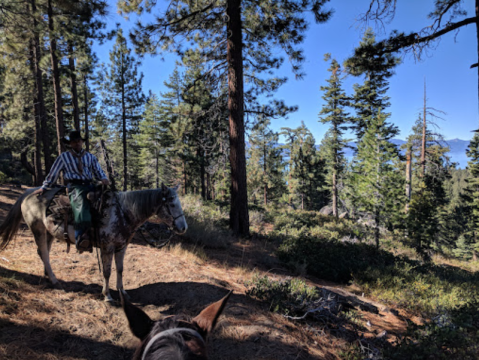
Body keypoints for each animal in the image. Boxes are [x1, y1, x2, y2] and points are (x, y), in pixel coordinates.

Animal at [0, 184, 188, 302]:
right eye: (171, 204)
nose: (183, 227)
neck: (122, 213)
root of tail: (30, 192)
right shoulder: (107, 247)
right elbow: (107, 271)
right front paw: (107, 295)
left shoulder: (122, 247)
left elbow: (120, 269)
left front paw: (122, 292)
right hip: (37, 229)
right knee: (44, 253)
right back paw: (54, 280)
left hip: (49, 232)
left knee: (44, 252)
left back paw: (48, 275)